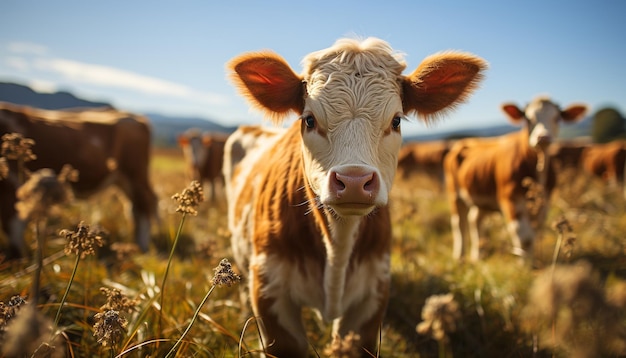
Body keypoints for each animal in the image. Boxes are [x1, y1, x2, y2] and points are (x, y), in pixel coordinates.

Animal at [0, 102, 156, 258]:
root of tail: (134, 117)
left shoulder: (12, 185)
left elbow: (13, 226)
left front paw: (19, 258)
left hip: (135, 175)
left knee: (143, 206)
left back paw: (143, 249)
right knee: (134, 209)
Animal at [222, 36, 486, 356]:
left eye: (396, 121)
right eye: (309, 120)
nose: (354, 181)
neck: (339, 245)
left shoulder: (373, 294)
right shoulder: (268, 287)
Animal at [442, 96, 584, 262]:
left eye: (557, 118)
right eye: (528, 119)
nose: (543, 137)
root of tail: (464, 142)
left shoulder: (545, 202)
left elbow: (534, 233)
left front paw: (531, 262)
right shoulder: (510, 199)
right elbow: (524, 236)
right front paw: (524, 264)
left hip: (481, 198)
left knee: (474, 220)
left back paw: (478, 255)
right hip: (454, 194)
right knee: (459, 223)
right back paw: (459, 257)